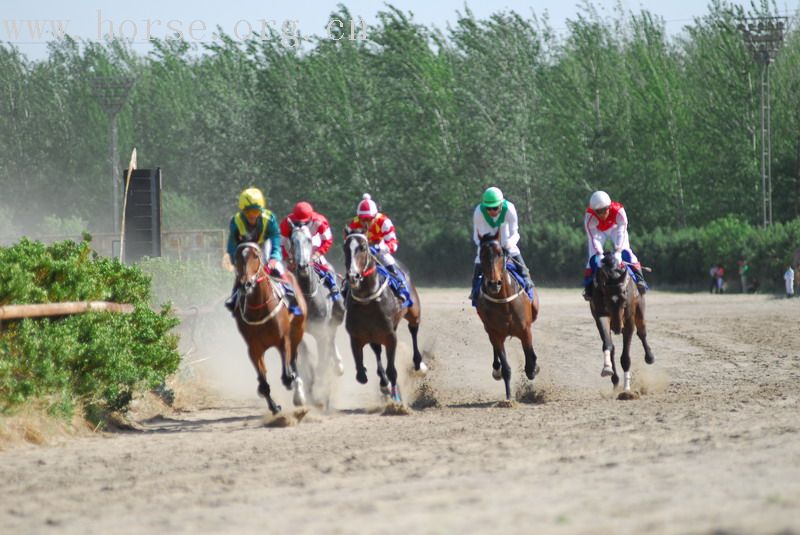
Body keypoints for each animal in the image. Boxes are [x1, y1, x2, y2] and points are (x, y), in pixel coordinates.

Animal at [233, 243, 308, 414]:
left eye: (255, 256)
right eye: (238, 257)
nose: (246, 284)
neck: (259, 308)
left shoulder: (284, 339)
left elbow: (287, 375)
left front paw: (291, 382)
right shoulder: (254, 348)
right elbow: (263, 381)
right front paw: (274, 406)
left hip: (297, 331)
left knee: (293, 360)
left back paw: (298, 392)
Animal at [290, 223, 348, 402]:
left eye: (309, 239)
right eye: (292, 240)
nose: (302, 266)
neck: (308, 298)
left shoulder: (321, 331)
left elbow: (322, 363)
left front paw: (320, 391)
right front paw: (301, 393)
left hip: (335, 317)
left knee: (331, 339)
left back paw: (338, 365)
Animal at [346, 232, 432, 404]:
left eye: (363, 248)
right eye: (345, 248)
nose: (353, 276)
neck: (368, 302)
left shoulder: (390, 335)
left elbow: (392, 370)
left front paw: (396, 399)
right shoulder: (356, 336)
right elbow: (361, 374)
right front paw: (384, 384)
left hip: (414, 312)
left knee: (413, 330)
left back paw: (419, 365)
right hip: (375, 335)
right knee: (377, 350)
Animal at [478, 231, 540, 402]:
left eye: (500, 253)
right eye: (482, 254)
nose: (494, 283)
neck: (504, 303)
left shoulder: (525, 330)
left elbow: (530, 363)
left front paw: (534, 367)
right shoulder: (495, 333)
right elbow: (506, 368)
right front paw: (508, 398)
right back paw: (496, 369)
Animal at [588, 250, 656, 394]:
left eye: (624, 299)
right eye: (607, 300)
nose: (617, 327)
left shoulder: (629, 320)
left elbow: (625, 357)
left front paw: (627, 389)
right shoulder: (601, 315)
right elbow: (608, 345)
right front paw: (607, 369)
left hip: (640, 307)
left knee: (642, 333)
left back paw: (649, 356)